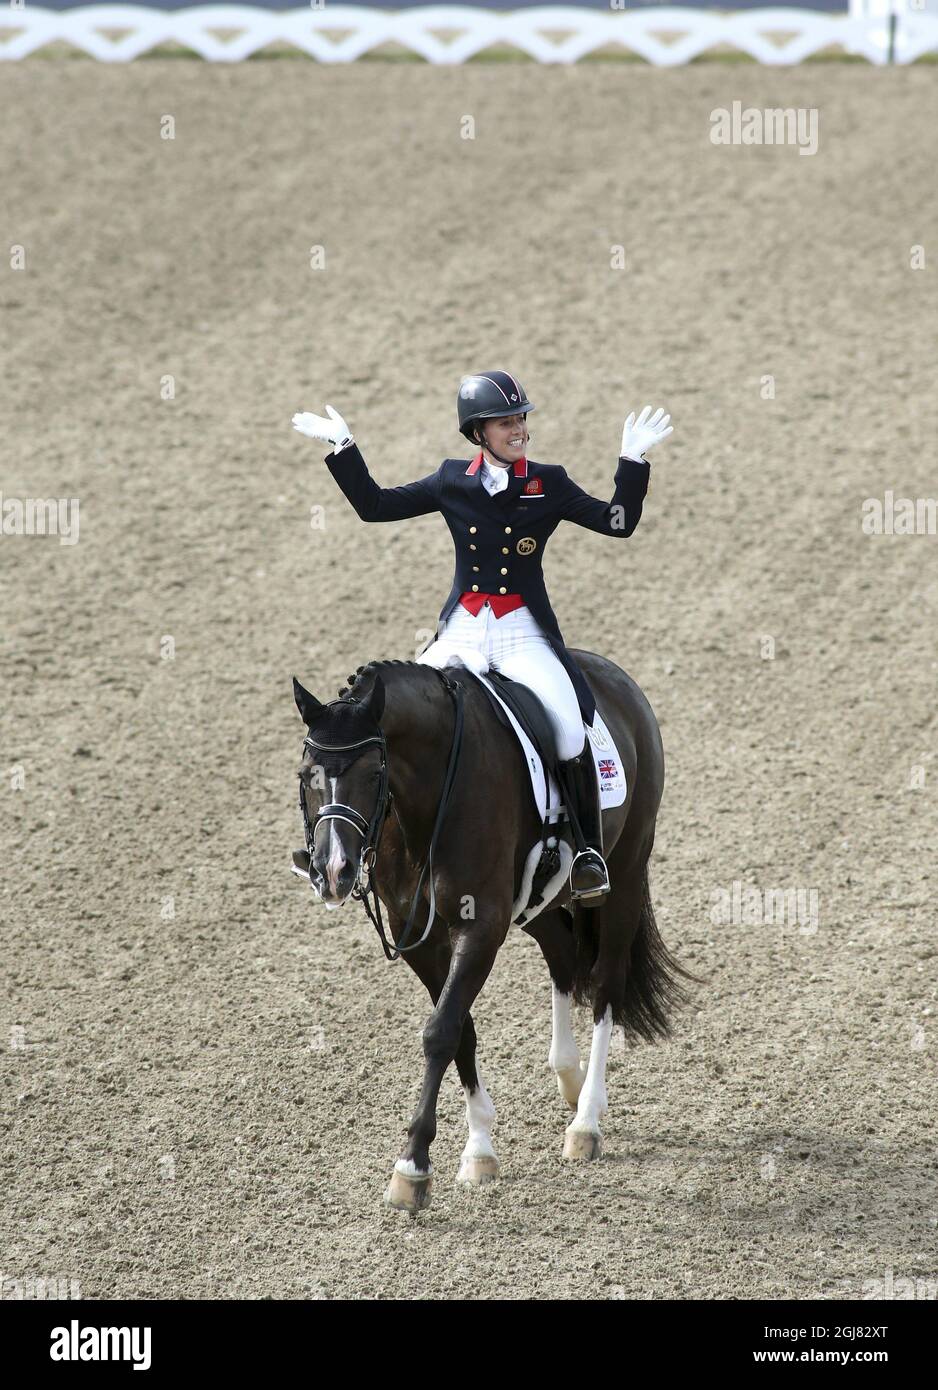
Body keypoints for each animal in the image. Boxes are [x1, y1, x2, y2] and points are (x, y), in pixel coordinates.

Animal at [291, 656, 689, 1212]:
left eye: (374, 773)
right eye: (306, 775)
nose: (332, 871)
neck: (427, 802)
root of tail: (611, 674)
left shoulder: (479, 927)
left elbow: (440, 1031)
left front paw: (412, 1169)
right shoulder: (420, 938)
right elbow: (461, 1030)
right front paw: (479, 1150)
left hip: (626, 872)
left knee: (607, 981)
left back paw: (585, 1120)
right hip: (536, 901)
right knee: (563, 956)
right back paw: (568, 1076)